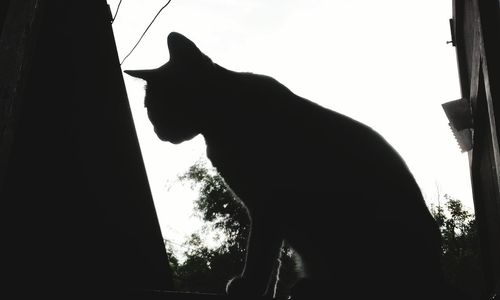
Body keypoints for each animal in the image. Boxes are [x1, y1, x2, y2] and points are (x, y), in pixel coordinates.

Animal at [125, 32, 450, 300]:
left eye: (165, 102)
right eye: (148, 109)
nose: (157, 131)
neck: (223, 120)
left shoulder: (267, 203)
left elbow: (260, 252)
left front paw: (249, 287)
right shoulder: (262, 208)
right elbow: (274, 258)